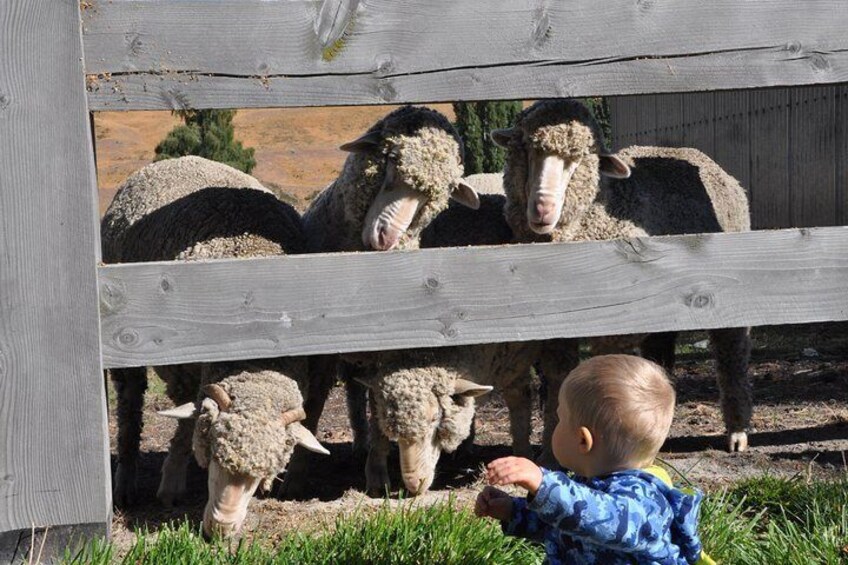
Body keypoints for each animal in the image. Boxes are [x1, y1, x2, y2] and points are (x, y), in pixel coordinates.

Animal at [104, 156, 330, 536]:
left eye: (261, 475)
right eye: (212, 451)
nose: (221, 528)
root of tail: (177, 158)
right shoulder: (186, 370)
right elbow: (184, 428)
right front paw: (171, 485)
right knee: (129, 407)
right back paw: (125, 482)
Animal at [494, 99, 752, 456]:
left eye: (579, 159)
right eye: (528, 149)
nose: (542, 210)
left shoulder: (614, 328)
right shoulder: (556, 329)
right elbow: (558, 381)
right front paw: (550, 450)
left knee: (732, 353)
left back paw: (737, 430)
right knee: (661, 350)